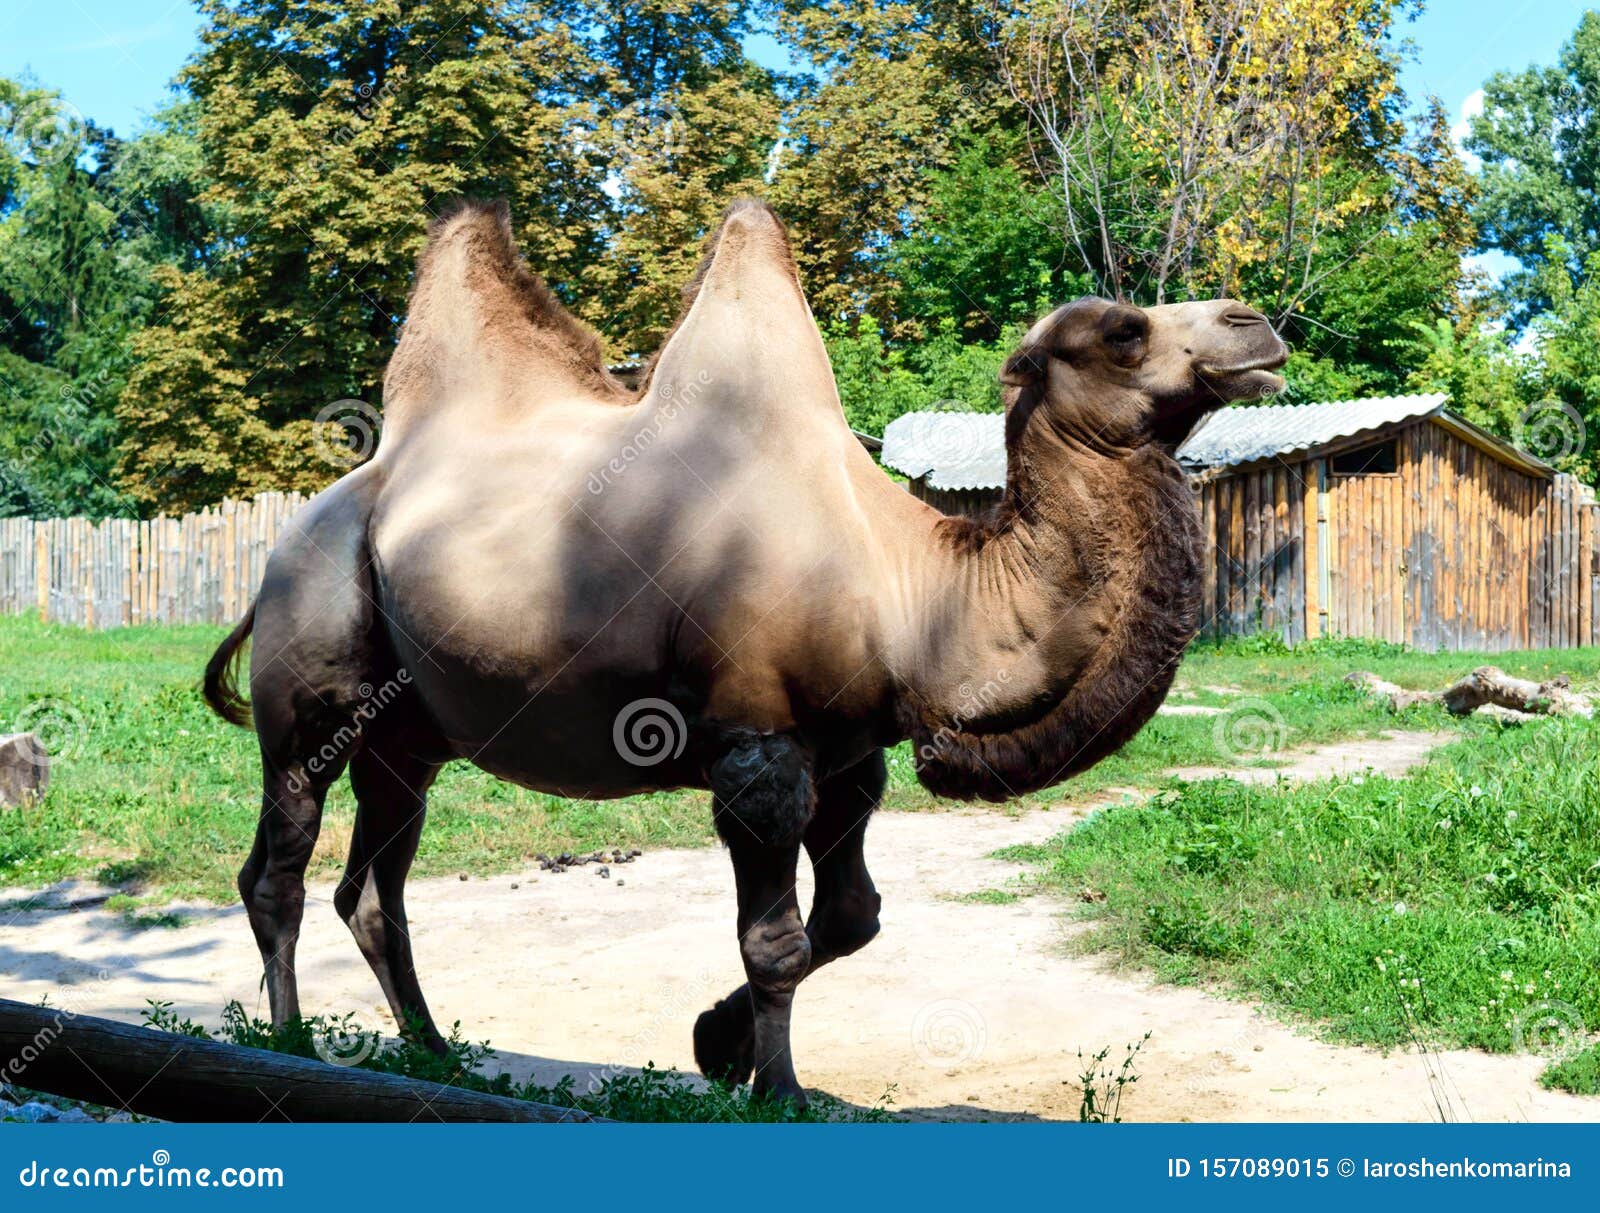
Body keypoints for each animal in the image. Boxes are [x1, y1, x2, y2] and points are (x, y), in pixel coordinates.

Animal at [206, 194, 1292, 1107]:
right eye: (1122, 330)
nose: (1257, 326)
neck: (907, 585)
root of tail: (295, 534)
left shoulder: (848, 754)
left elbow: (853, 914)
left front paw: (714, 1043)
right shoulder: (755, 745)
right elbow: (774, 939)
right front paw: (778, 1092)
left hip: (409, 737)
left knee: (372, 885)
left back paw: (435, 1051)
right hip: (311, 681)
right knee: (280, 864)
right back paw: (291, 1045)